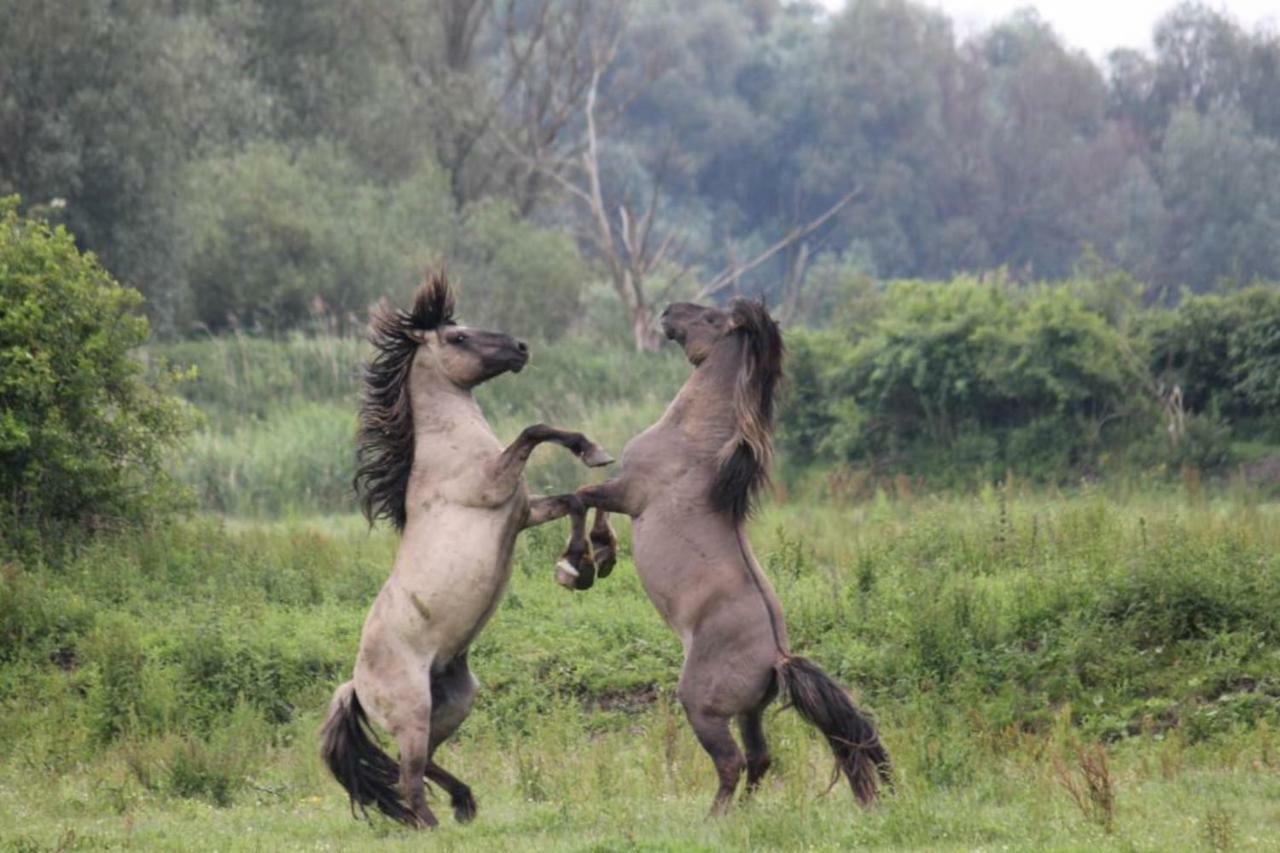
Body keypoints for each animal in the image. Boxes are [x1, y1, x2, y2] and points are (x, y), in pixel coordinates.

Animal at [320, 272, 609, 824]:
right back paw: (433, 825)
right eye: (458, 337)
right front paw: (591, 455)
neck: (448, 447)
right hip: (413, 713)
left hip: (454, 704)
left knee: (419, 765)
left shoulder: (522, 512)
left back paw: (464, 802)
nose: (521, 348)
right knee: (408, 776)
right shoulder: (495, 485)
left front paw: (580, 563)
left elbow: (574, 499)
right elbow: (535, 431)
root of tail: (356, 687)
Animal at [578, 297, 890, 809]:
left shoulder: (629, 493)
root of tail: (778, 660)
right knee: (761, 760)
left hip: (703, 709)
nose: (667, 312)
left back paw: (714, 818)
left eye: (709, 317)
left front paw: (586, 561)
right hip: (750, 712)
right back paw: (744, 814)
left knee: (732, 763)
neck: (692, 441)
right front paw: (601, 556)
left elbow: (582, 495)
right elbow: (588, 498)